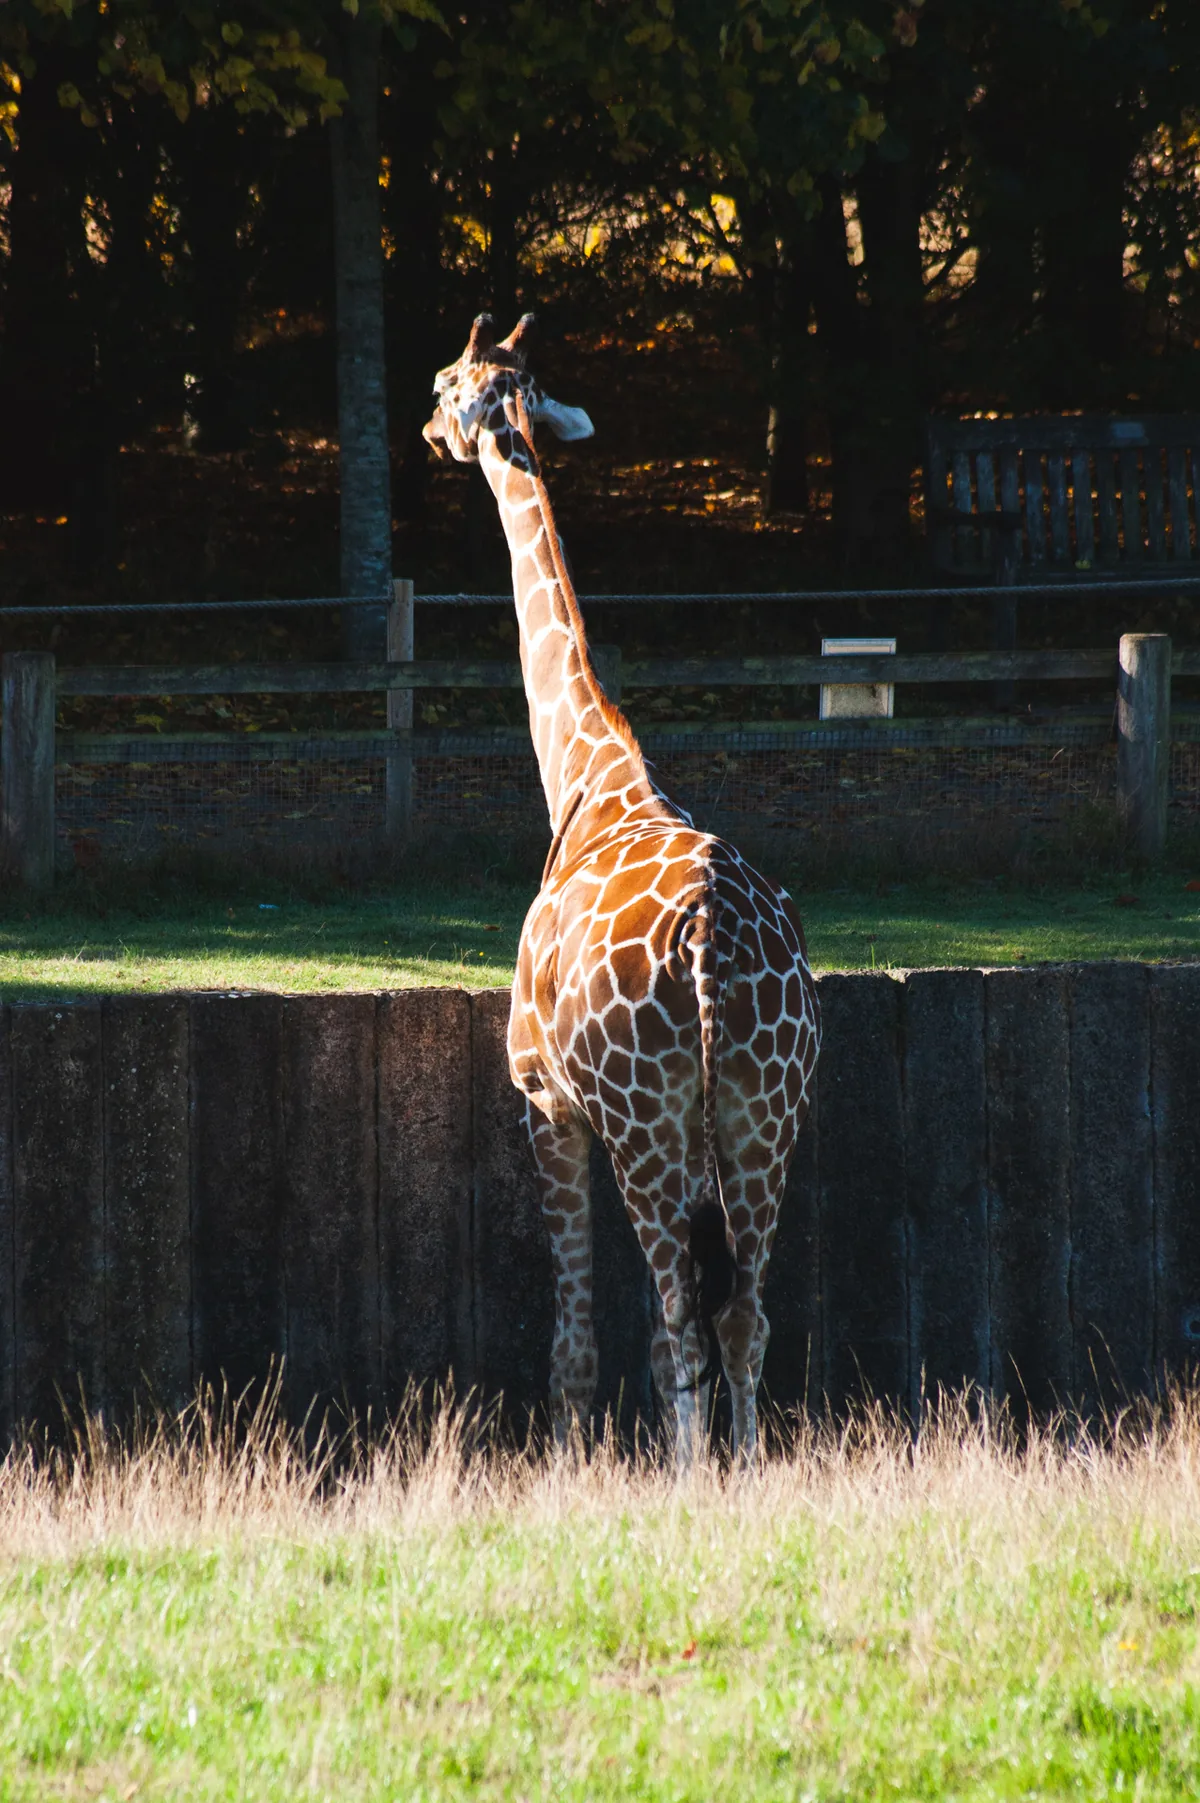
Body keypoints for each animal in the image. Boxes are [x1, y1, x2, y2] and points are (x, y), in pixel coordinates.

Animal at [424, 313, 821, 1464]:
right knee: (743, 1311)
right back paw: (748, 1472)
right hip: (763, 1113)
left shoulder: (547, 1101)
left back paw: (696, 1478)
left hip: (647, 1125)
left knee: (687, 1315)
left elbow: (577, 1343)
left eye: (446, 381)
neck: (589, 777)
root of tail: (713, 944)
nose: (426, 430)